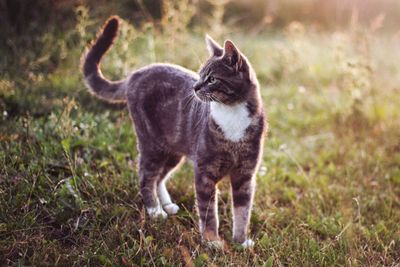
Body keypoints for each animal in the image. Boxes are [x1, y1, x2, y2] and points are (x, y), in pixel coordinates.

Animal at [81, 15, 268, 248]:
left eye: (212, 79)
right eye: (199, 76)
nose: (195, 87)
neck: (231, 113)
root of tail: (135, 75)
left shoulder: (245, 174)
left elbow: (243, 212)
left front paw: (240, 242)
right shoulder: (204, 171)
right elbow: (208, 212)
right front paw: (212, 241)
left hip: (172, 149)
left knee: (160, 177)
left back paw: (167, 205)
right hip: (151, 143)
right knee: (146, 176)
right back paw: (155, 211)